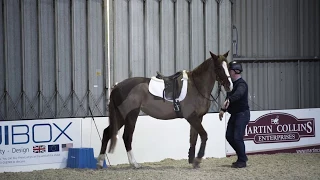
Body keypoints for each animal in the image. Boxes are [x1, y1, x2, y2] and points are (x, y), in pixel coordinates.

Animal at [95, 50, 232, 169]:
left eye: (228, 66)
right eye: (219, 67)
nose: (229, 85)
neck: (196, 86)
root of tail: (117, 86)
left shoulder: (198, 117)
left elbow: (193, 138)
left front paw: (192, 160)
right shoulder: (191, 117)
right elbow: (204, 135)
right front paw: (198, 160)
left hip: (120, 116)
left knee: (107, 133)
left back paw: (100, 163)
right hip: (130, 115)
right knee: (127, 137)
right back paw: (134, 163)